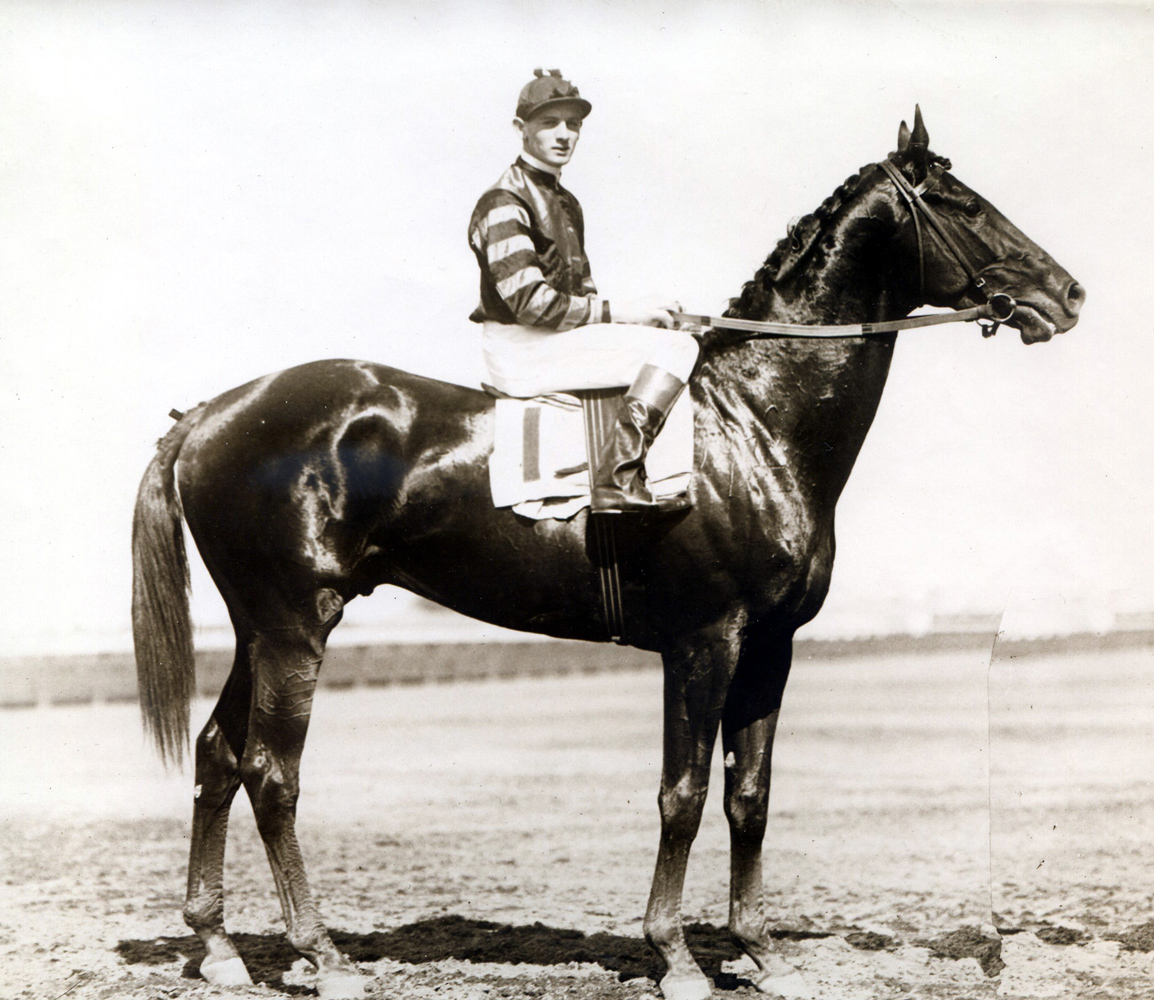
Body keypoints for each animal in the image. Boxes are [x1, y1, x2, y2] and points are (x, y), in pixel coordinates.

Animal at [132, 109, 1080, 1000]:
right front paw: (678, 958)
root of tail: (211, 412)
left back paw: (218, 948)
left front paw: (763, 954)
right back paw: (321, 955)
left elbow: (749, 795)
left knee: (218, 756)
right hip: (297, 624)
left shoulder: (770, 646)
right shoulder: (705, 641)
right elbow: (683, 795)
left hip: (259, 628)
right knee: (271, 773)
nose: (1067, 293)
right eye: (962, 202)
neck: (751, 424)